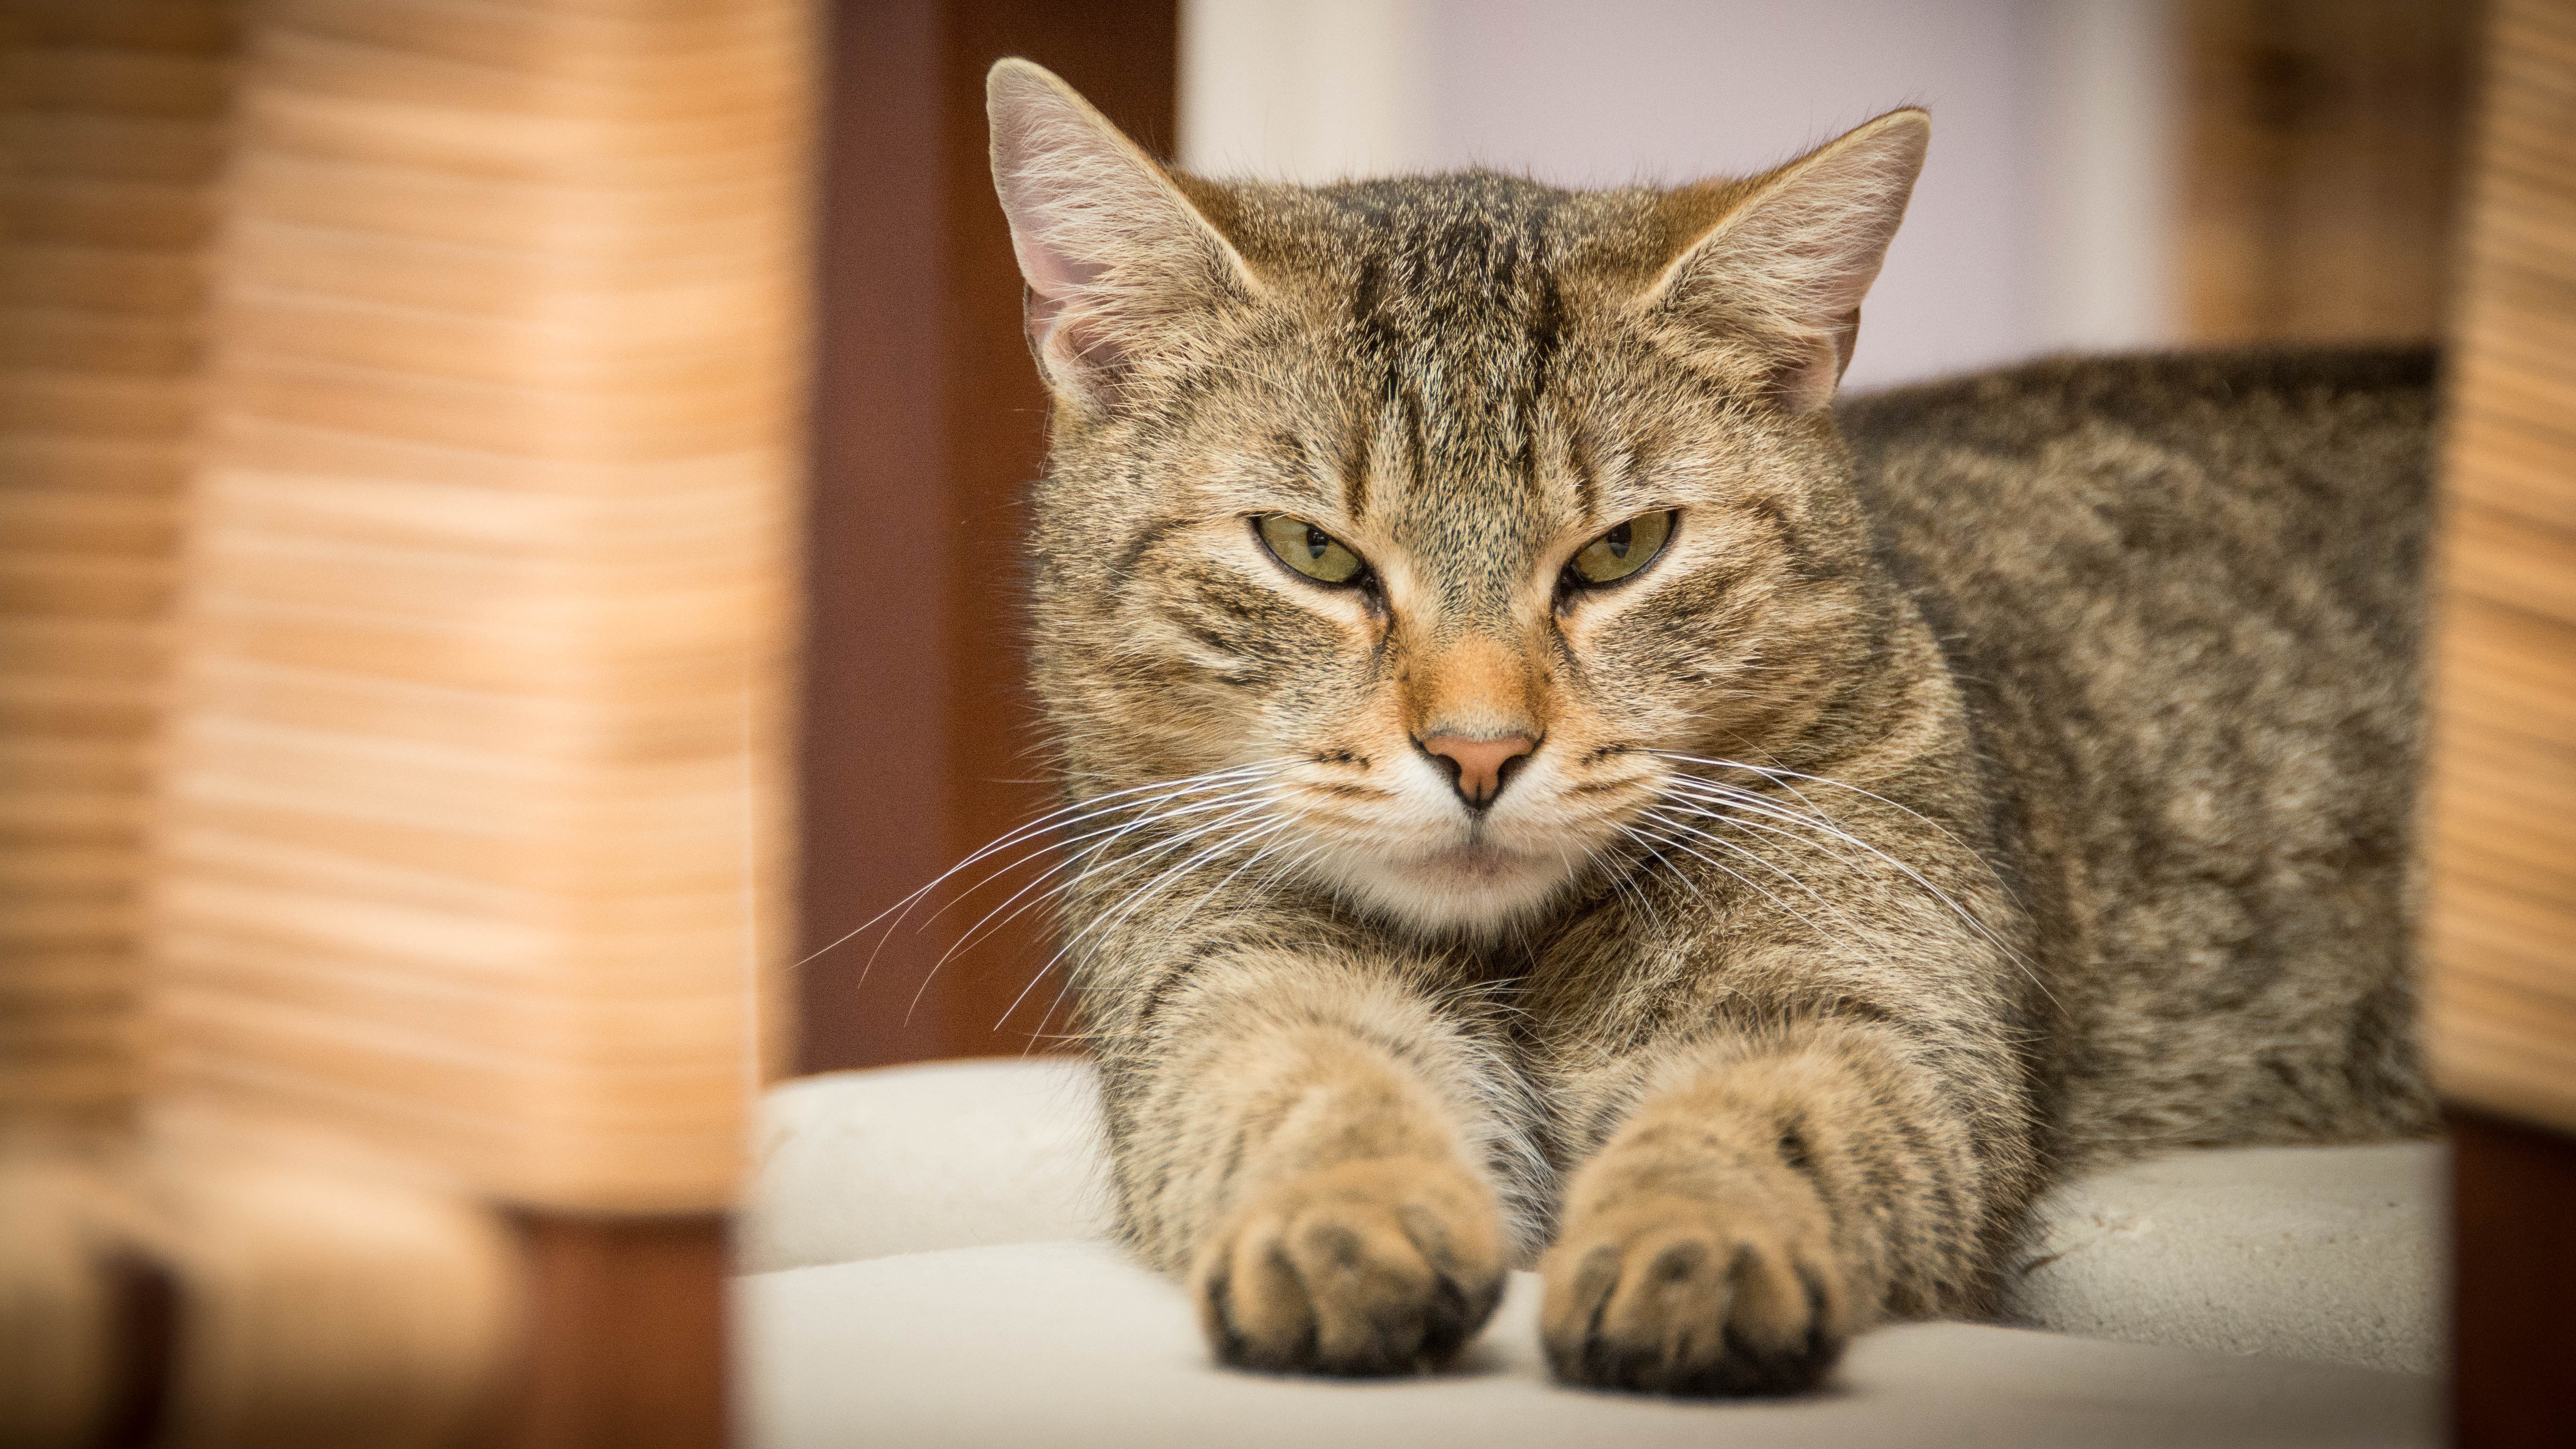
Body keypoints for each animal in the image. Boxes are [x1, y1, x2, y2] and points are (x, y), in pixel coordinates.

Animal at [968, 56, 2431, 1392]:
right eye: (1310, 551)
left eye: (1623, 549)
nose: (1479, 750)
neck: (1517, 956)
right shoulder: (1222, 977)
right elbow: (1311, 1086)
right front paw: (1343, 1217)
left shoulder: (1868, 1002)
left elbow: (1751, 1117)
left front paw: (1692, 1244)